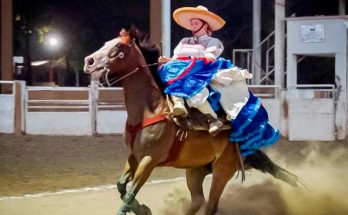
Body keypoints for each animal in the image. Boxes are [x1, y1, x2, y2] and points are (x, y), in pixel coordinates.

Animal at [84, 27, 304, 214]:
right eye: (106, 42)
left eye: (119, 46)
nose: (89, 61)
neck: (149, 110)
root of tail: (242, 142)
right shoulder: (134, 156)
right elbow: (121, 187)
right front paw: (143, 209)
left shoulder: (149, 160)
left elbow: (129, 195)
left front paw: (140, 208)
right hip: (195, 171)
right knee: (198, 201)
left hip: (222, 171)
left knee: (211, 205)